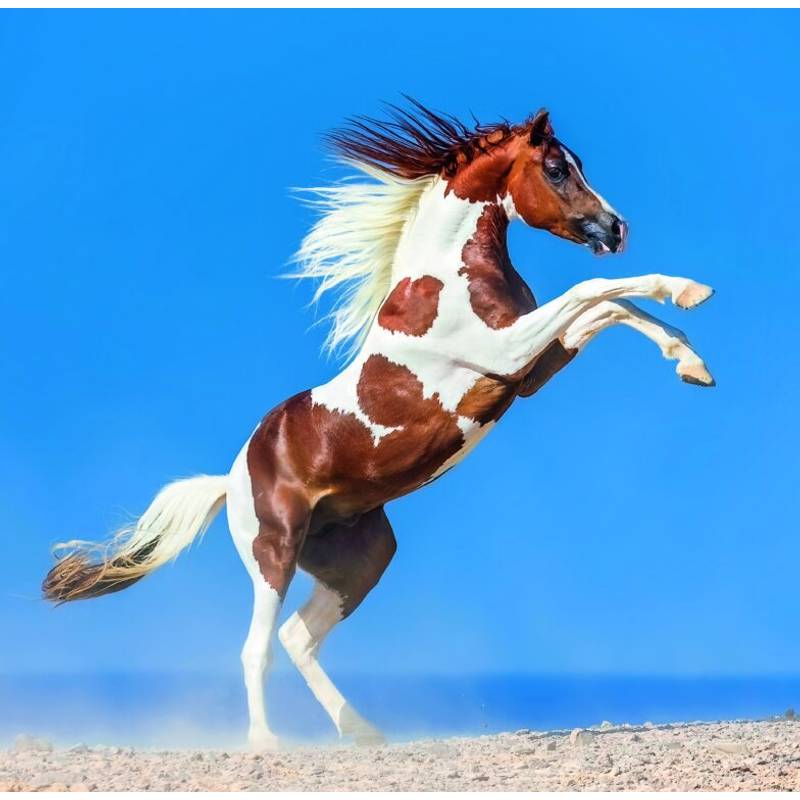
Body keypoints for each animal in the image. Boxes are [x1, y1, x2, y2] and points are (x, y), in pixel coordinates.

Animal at [43, 99, 714, 749]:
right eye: (555, 169)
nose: (616, 228)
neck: (443, 278)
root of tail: (231, 480)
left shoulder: (529, 368)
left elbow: (610, 309)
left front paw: (691, 361)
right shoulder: (505, 354)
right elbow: (596, 289)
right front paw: (688, 290)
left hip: (360, 559)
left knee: (298, 637)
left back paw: (361, 730)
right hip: (273, 551)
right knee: (257, 648)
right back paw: (265, 742)